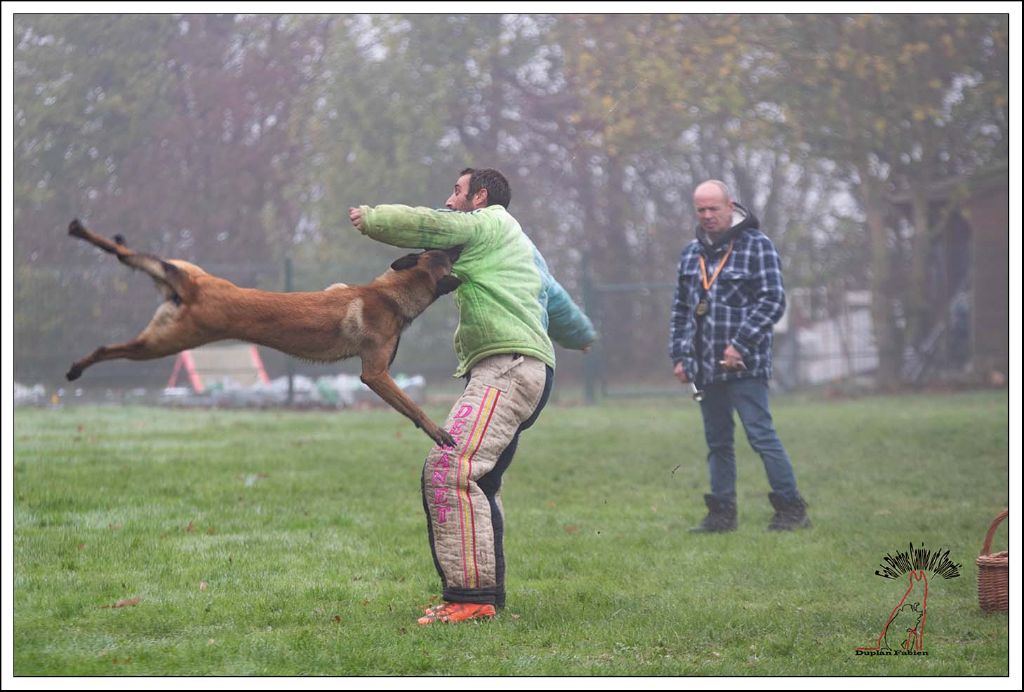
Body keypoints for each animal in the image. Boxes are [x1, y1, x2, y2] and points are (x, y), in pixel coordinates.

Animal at [66, 222, 462, 448]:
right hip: (163, 343)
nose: (459, 245)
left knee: (128, 256)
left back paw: (82, 231)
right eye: (446, 255)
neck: (389, 292)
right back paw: (76, 367)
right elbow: (413, 406)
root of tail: (190, 290)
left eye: (438, 250)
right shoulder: (375, 374)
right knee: (107, 347)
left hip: (183, 273)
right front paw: (437, 432)